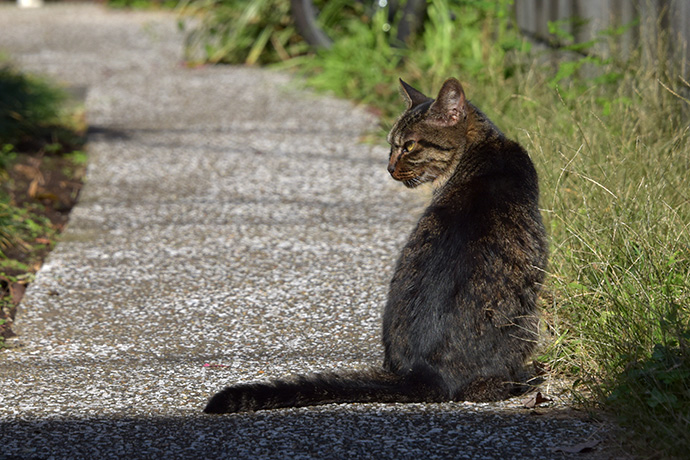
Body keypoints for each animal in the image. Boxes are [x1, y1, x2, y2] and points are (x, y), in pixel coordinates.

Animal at [202, 77, 544, 416]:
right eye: (392, 144)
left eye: (409, 146)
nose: (389, 168)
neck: (485, 147)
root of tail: (422, 372)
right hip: (529, 321)